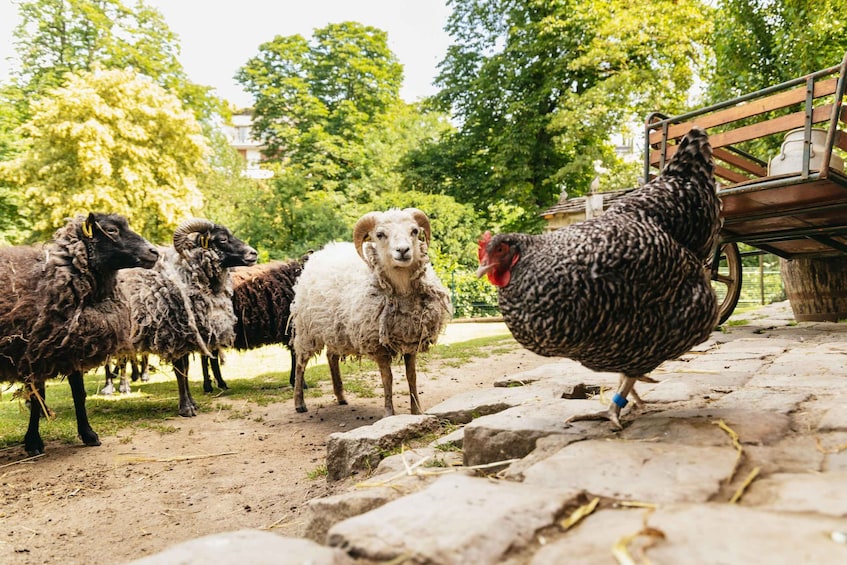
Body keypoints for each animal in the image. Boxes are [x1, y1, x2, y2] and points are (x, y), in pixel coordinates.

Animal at [0, 213, 159, 455]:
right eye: (111, 230)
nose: (154, 252)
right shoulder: (35, 354)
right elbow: (37, 399)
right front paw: (34, 442)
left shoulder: (72, 347)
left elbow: (79, 394)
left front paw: (88, 434)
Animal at [117, 218, 257, 416]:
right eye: (222, 239)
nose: (253, 253)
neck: (185, 275)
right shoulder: (173, 335)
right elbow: (180, 371)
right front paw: (186, 408)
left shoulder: (187, 338)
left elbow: (187, 369)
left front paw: (192, 403)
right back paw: (122, 387)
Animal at [199, 255, 309, 393]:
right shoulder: (292, 329)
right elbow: (296, 357)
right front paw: (299, 383)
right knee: (205, 357)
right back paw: (208, 387)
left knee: (211, 357)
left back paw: (221, 384)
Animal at [290, 208, 452, 417]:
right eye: (380, 234)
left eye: (415, 231)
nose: (403, 250)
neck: (402, 291)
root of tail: (322, 251)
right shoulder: (378, 344)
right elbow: (387, 378)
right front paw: (389, 413)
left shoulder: (411, 340)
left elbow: (412, 376)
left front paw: (417, 410)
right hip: (307, 330)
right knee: (300, 363)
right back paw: (299, 402)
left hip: (336, 330)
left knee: (331, 357)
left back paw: (341, 396)